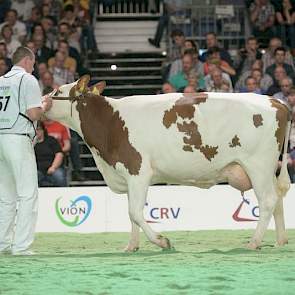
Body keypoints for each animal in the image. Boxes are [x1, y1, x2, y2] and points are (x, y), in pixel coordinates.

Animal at [45, 75, 292, 252]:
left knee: (268, 200)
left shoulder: (138, 170)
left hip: (257, 164)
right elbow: (131, 214)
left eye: (58, 91)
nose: (43, 101)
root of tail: (275, 101)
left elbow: (135, 212)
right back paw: (280, 241)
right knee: (278, 198)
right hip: (267, 168)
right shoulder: (126, 174)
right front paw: (131, 246)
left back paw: (254, 242)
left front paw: (162, 242)